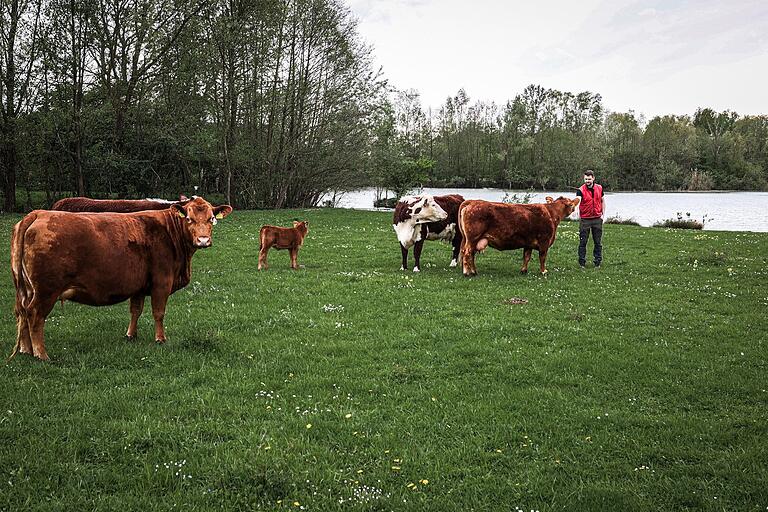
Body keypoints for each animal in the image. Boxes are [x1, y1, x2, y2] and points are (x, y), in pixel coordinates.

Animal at [10, 196, 232, 360]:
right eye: (189, 219)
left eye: (211, 218)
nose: (203, 240)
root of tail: (39, 213)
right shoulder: (162, 281)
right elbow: (158, 312)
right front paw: (160, 339)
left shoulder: (139, 285)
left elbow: (135, 311)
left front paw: (131, 335)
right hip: (45, 291)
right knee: (35, 315)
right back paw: (40, 354)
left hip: (25, 290)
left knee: (22, 313)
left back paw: (25, 350)